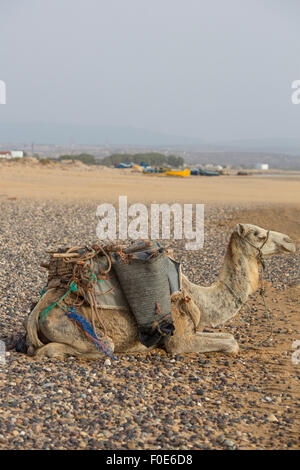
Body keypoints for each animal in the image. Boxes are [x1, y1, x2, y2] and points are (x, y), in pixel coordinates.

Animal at [23, 224, 296, 360]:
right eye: (258, 234)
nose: (290, 241)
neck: (199, 298)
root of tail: (36, 313)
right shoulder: (180, 338)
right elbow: (231, 343)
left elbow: (230, 337)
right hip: (71, 325)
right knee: (99, 346)